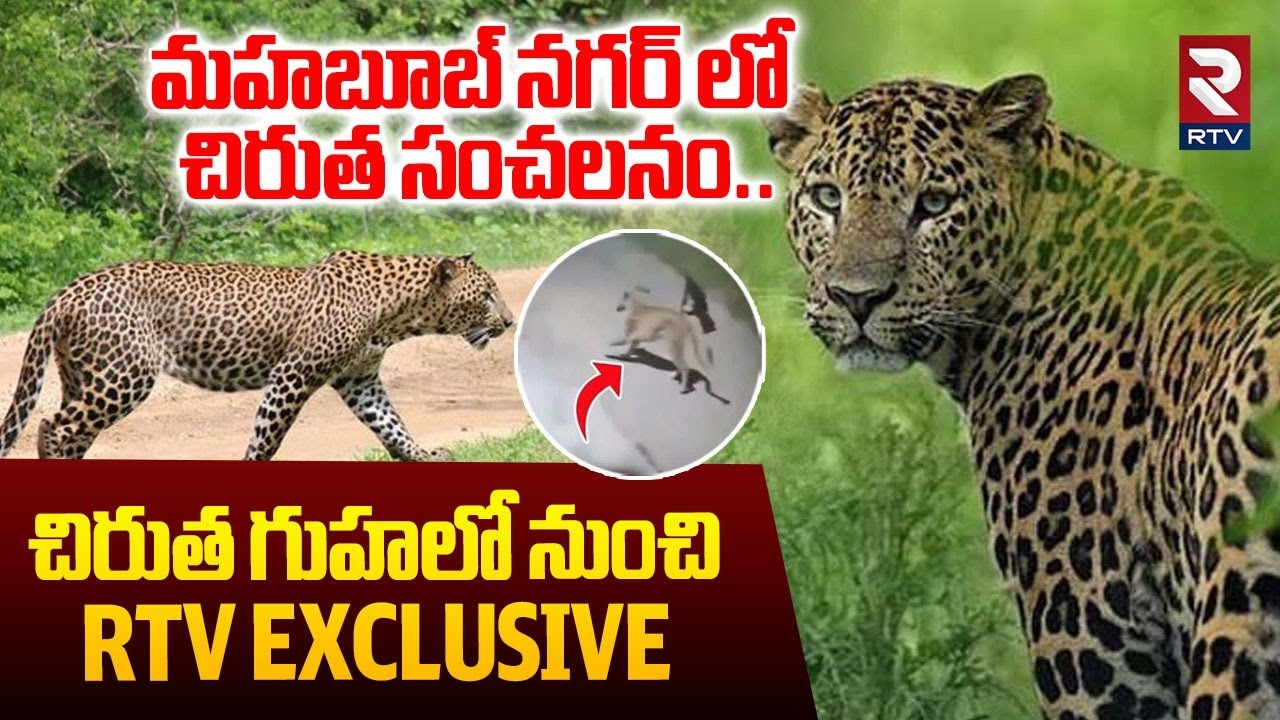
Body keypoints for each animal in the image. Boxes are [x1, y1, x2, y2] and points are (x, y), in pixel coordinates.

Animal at [0, 250, 514, 462]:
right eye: (486, 295)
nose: (509, 322)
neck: (398, 313)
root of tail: (67, 291)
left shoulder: (360, 380)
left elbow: (392, 424)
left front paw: (422, 456)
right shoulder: (293, 374)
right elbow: (269, 437)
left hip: (84, 375)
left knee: (72, 431)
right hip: (123, 377)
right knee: (53, 426)